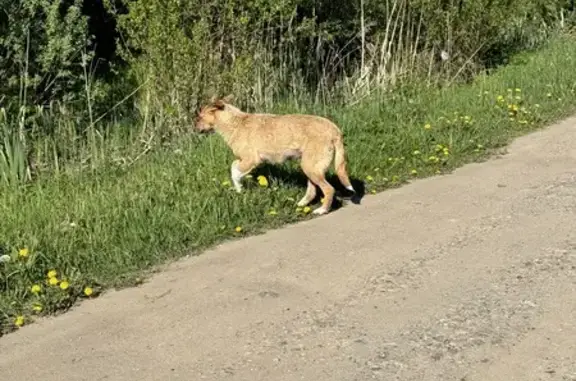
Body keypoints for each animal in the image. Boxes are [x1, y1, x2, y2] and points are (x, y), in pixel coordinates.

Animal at [194, 95, 356, 214]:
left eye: (200, 117)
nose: (194, 127)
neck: (236, 123)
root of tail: (335, 130)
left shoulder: (251, 160)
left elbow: (234, 171)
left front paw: (239, 188)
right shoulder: (243, 159)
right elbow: (234, 166)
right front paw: (239, 188)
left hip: (311, 167)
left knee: (329, 189)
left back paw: (322, 210)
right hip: (310, 167)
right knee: (313, 190)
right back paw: (301, 204)